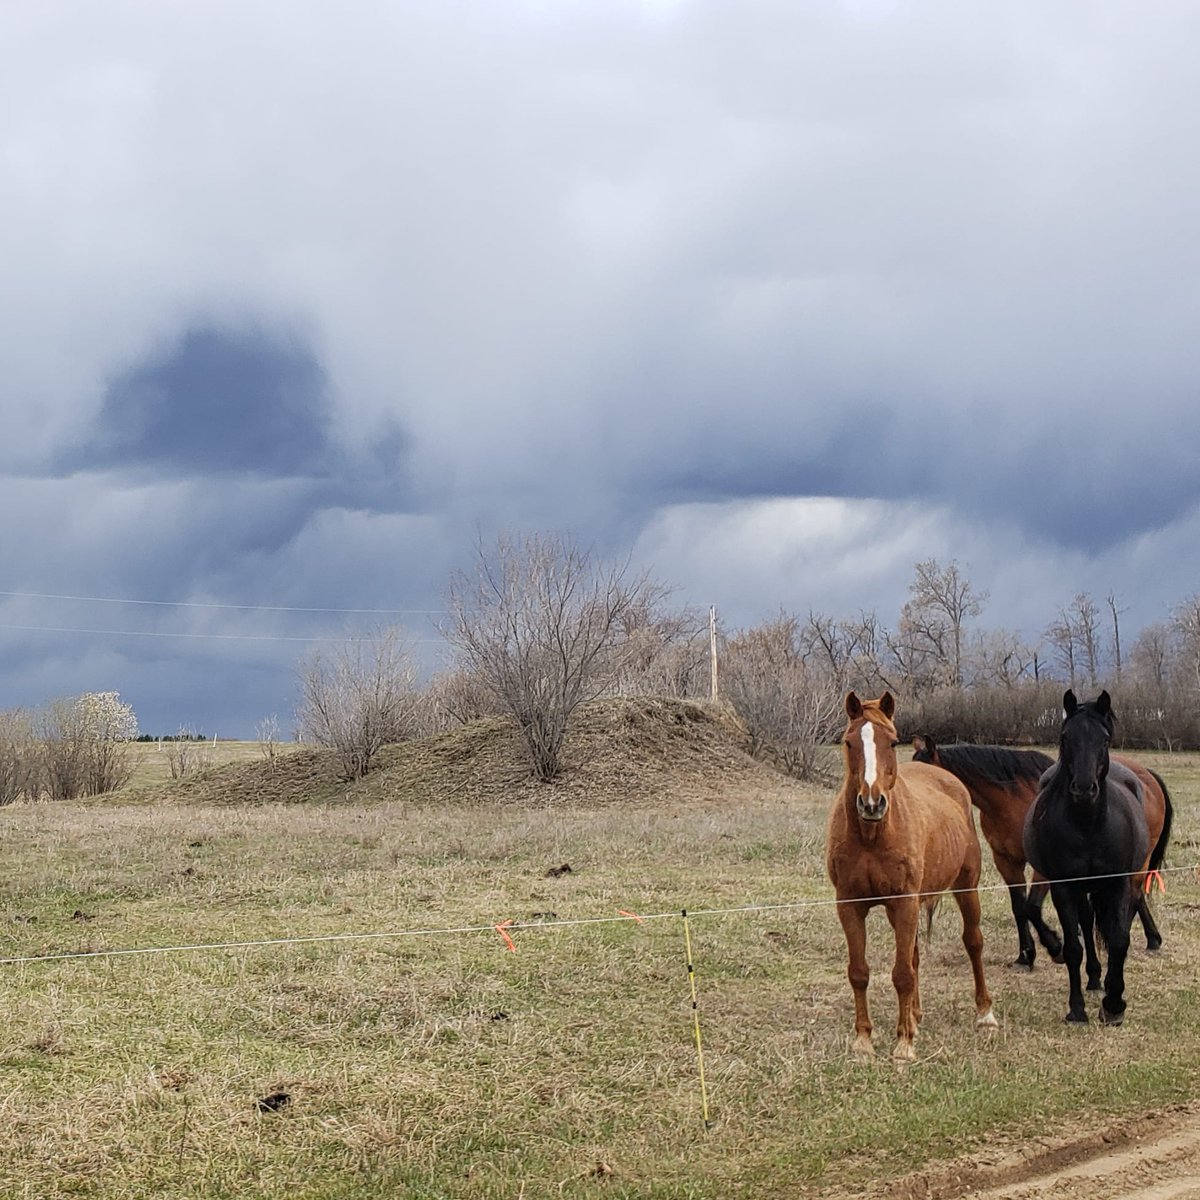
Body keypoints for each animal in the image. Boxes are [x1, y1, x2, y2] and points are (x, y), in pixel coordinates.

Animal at [826, 691, 997, 1061]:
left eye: (892, 742)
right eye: (848, 742)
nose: (871, 803)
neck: (872, 835)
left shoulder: (904, 902)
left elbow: (902, 973)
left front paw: (903, 1044)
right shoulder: (849, 905)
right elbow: (859, 972)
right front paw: (864, 1039)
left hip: (966, 887)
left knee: (973, 943)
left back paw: (985, 1014)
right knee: (915, 954)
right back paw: (915, 1016)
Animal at [912, 725, 1173, 973]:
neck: (1011, 801)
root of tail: (1146, 777)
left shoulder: (1045, 868)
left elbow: (1032, 906)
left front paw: (1055, 948)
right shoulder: (1006, 862)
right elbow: (1020, 908)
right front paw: (1025, 956)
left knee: (1134, 895)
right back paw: (1151, 939)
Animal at [1023, 690, 1150, 1024]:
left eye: (1104, 739)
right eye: (1066, 737)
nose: (1083, 788)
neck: (1089, 825)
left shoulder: (1118, 884)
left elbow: (1118, 940)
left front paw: (1114, 1005)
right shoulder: (1064, 887)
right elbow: (1073, 948)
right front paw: (1077, 1009)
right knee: (1086, 922)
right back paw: (1093, 978)